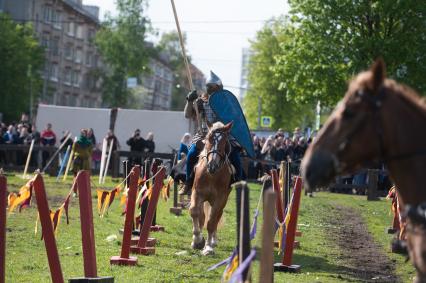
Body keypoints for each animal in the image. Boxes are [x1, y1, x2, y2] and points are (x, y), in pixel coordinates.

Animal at [190, 121, 233, 256]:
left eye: (224, 141)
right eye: (209, 138)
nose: (212, 166)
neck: (211, 175)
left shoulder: (219, 199)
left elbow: (211, 221)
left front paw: (208, 247)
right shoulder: (197, 193)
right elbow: (194, 212)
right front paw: (197, 240)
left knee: (217, 216)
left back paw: (213, 241)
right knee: (202, 216)